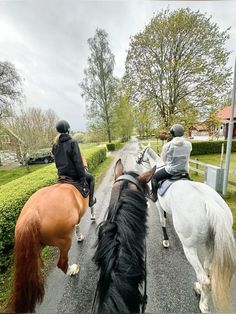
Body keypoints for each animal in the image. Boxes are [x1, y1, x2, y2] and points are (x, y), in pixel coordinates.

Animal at [6, 183, 88, 312]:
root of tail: (33, 213)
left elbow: (77, 226)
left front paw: (79, 237)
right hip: (64, 241)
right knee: (62, 263)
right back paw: (72, 270)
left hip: (32, 248)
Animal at [137, 147, 236, 314]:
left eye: (141, 152)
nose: (137, 160)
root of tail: (208, 202)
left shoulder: (159, 206)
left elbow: (163, 221)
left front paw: (165, 240)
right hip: (211, 244)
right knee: (207, 271)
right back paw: (199, 288)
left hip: (189, 247)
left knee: (205, 279)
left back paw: (203, 304)